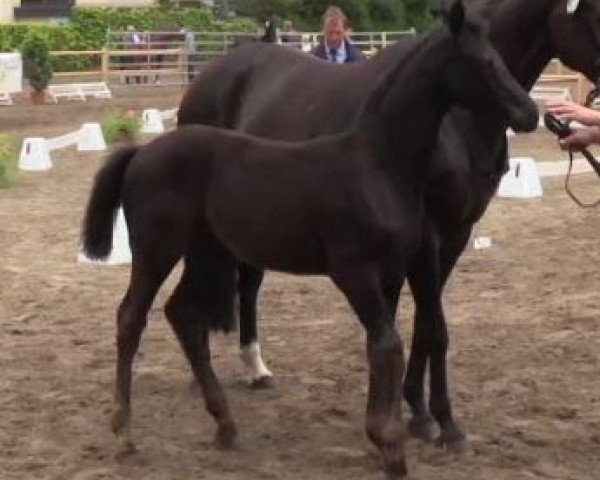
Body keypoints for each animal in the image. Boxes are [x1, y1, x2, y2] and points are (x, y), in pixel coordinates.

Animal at [82, 2, 536, 476]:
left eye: (498, 55)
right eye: (484, 61)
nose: (530, 113)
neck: (376, 162)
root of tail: (141, 152)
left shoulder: (391, 268)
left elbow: (385, 342)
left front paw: (388, 434)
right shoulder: (353, 270)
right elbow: (388, 344)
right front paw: (391, 444)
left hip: (207, 253)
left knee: (183, 315)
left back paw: (225, 424)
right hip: (157, 250)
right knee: (131, 317)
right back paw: (124, 431)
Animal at [176, 0, 600, 452]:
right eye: (591, 12)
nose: (529, 113)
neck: (456, 121)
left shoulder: (454, 234)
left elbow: (420, 324)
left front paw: (415, 409)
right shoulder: (426, 236)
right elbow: (430, 325)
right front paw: (435, 419)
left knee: (249, 284)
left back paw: (255, 369)